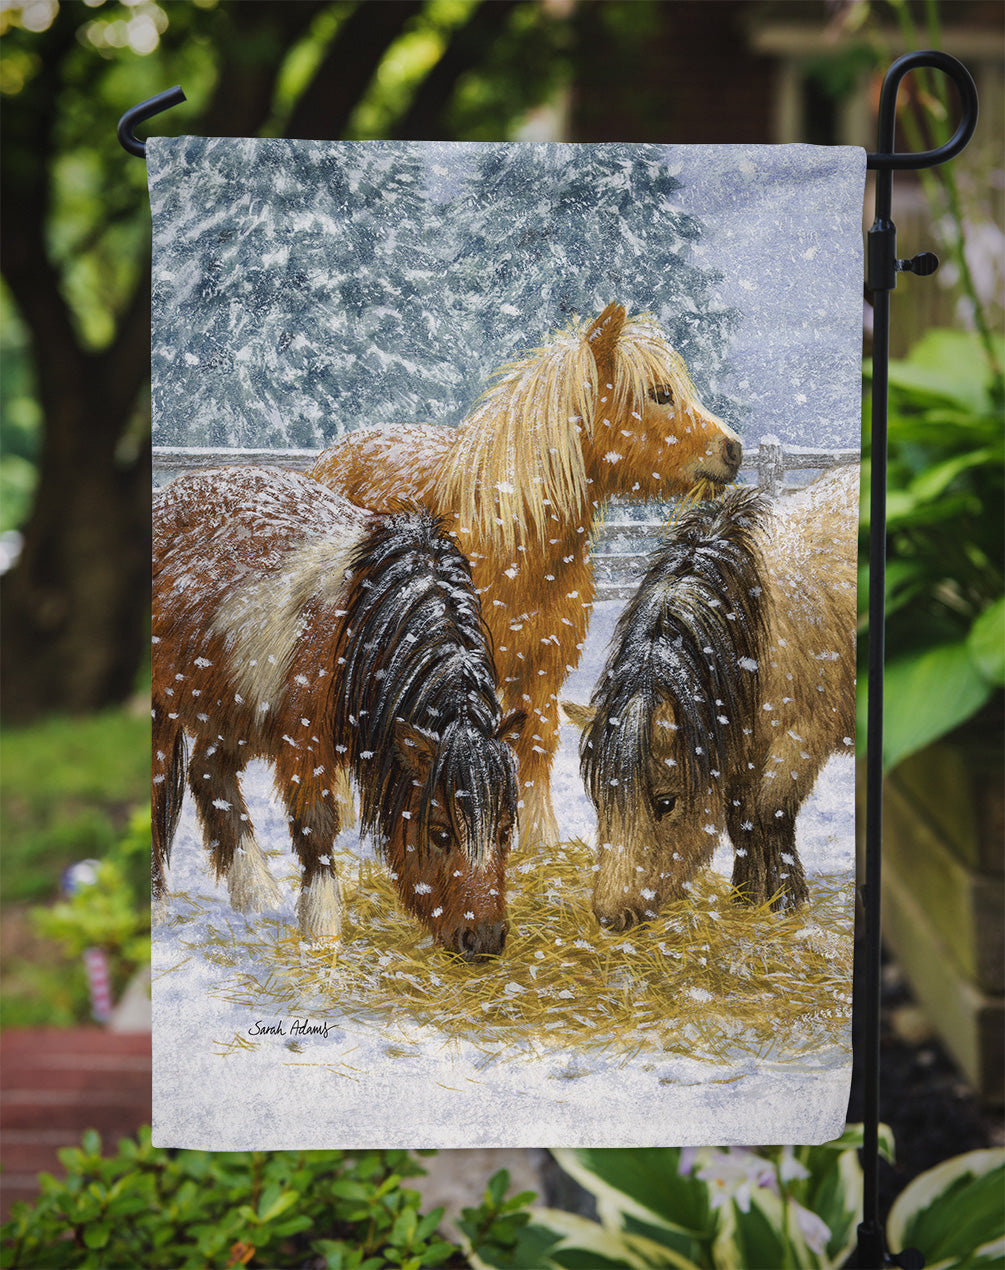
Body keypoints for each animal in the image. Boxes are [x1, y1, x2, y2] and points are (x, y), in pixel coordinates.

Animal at [152, 466, 525, 959]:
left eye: (503, 831)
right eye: (441, 832)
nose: (484, 941)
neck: (362, 624)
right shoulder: (304, 745)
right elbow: (317, 825)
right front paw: (323, 932)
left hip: (232, 710)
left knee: (209, 776)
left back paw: (257, 897)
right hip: (165, 713)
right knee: (159, 790)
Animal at [310, 303, 742, 851]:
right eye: (659, 394)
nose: (733, 449)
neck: (510, 534)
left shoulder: (542, 666)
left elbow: (535, 743)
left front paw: (538, 842)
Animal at [562, 466, 857, 931]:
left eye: (665, 802)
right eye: (599, 801)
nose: (612, 919)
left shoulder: (798, 744)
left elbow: (769, 815)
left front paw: (786, 904)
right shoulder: (737, 750)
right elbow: (742, 823)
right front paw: (747, 899)